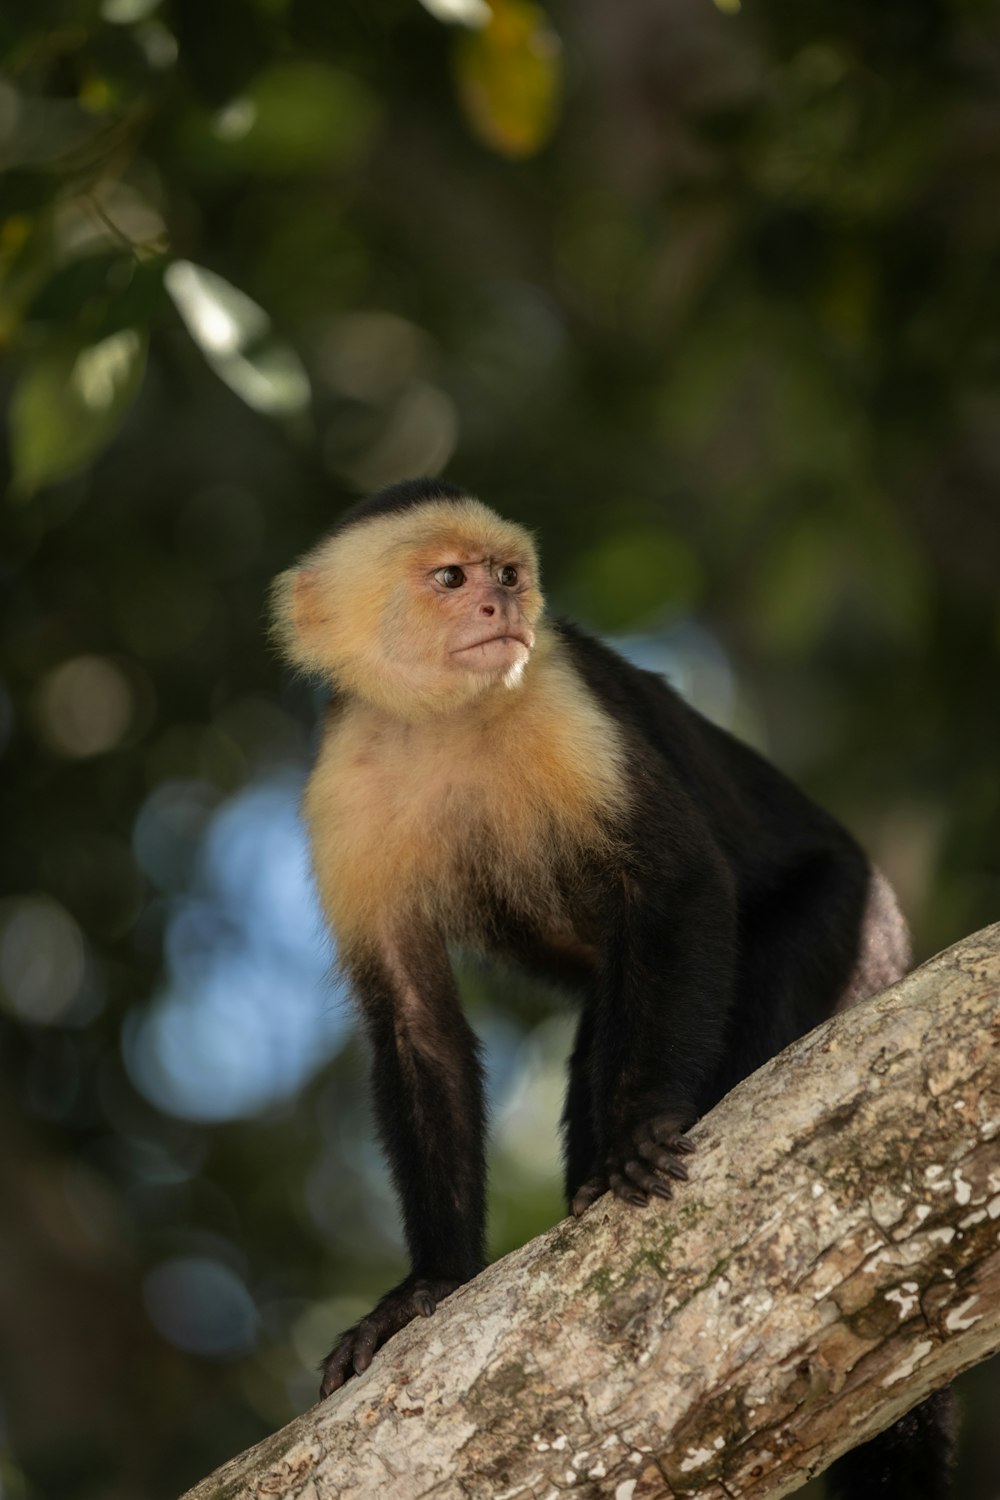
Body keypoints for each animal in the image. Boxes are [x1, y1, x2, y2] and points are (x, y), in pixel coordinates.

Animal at [271, 480, 953, 1500]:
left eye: (509, 574)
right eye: (451, 579)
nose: (500, 606)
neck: (446, 722)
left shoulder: (564, 701)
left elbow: (679, 886)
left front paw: (637, 1137)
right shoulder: (344, 791)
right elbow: (415, 1022)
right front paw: (429, 1285)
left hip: (848, 918)